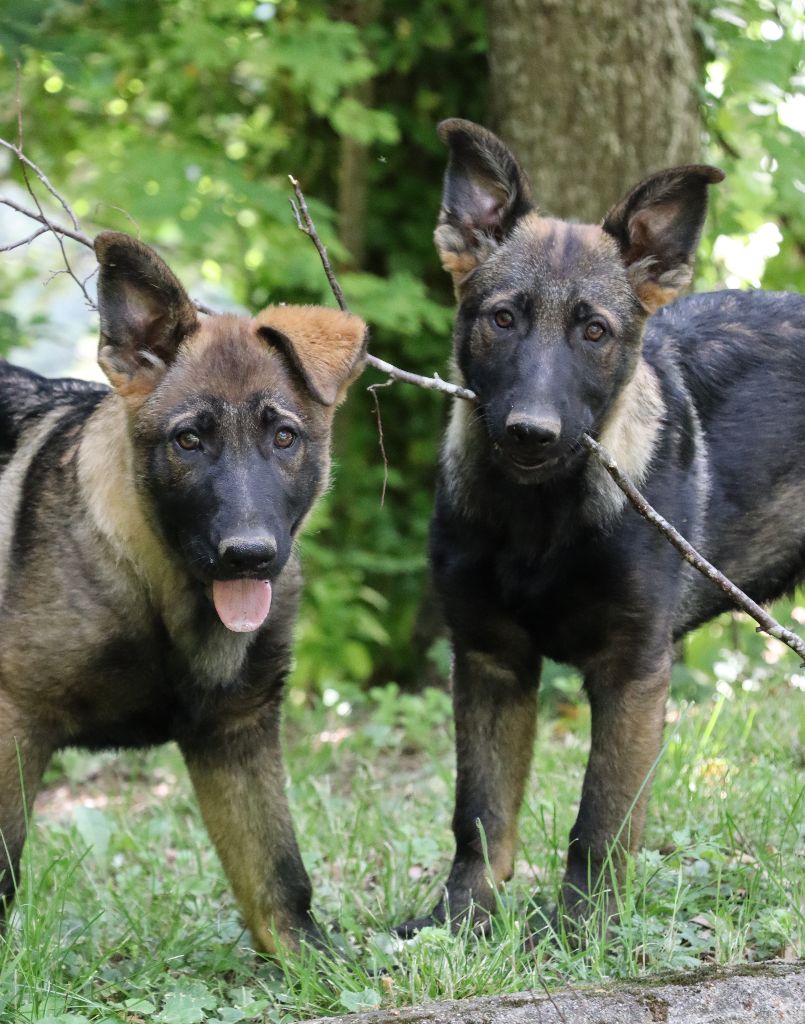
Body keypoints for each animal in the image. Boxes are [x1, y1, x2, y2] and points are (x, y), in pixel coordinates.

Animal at [0, 232, 364, 950]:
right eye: (189, 441)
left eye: (284, 438)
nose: (249, 556)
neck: (162, 589)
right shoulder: (14, 722)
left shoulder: (236, 734)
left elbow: (279, 878)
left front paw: (312, 963)